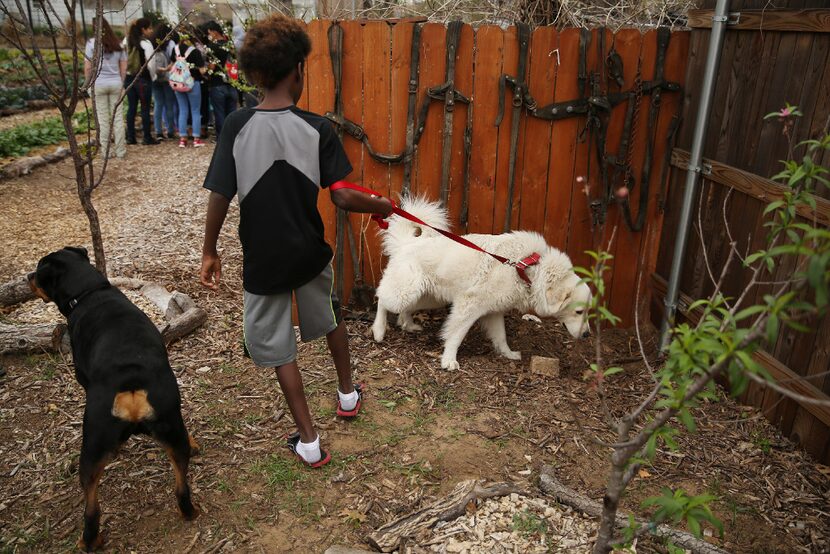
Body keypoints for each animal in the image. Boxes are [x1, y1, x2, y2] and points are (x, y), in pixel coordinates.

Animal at [374, 196, 596, 368]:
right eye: (579, 312)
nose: (587, 335)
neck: (527, 269)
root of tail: (407, 243)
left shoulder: (494, 311)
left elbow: (501, 337)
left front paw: (508, 354)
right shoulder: (469, 306)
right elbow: (456, 335)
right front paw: (448, 361)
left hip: (428, 298)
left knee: (404, 309)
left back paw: (409, 325)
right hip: (404, 293)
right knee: (382, 300)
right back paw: (378, 330)